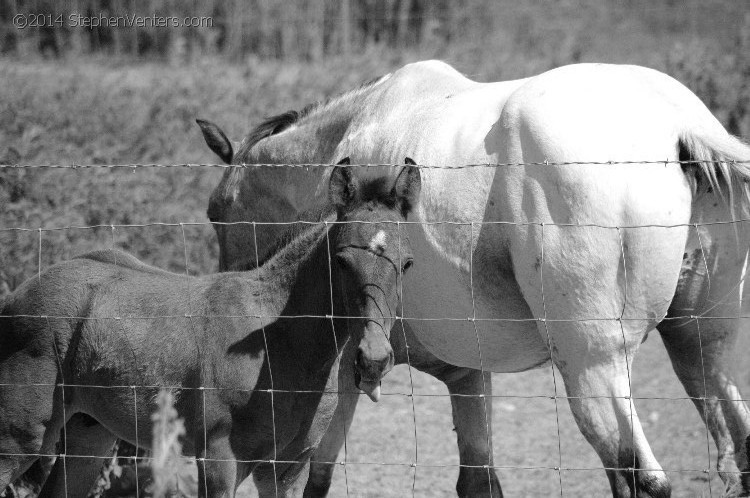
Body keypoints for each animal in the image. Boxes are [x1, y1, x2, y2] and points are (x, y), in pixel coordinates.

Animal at [0, 161, 424, 496]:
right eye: (340, 260)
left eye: (407, 264)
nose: (373, 358)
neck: (281, 345)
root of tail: (16, 296)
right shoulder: (220, 460)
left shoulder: (287, 469)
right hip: (19, 436)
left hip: (89, 433)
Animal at [203, 60, 750, 496]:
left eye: (215, 212)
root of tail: (676, 122)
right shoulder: (467, 375)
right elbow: (478, 480)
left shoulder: (347, 368)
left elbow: (315, 475)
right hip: (701, 348)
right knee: (736, 444)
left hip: (593, 370)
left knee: (637, 474)